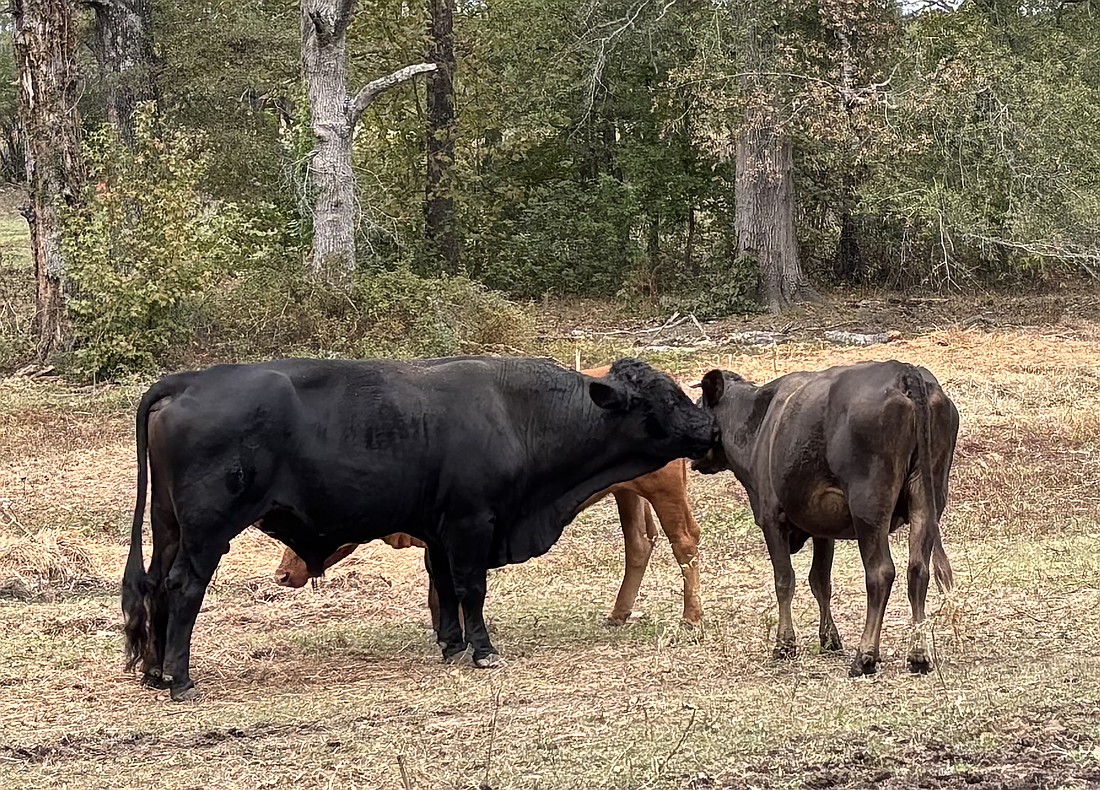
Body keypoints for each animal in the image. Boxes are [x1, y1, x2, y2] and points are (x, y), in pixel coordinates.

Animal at [271, 365, 706, 629]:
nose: (281, 575)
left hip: (666, 491)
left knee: (684, 542)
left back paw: (691, 616)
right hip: (628, 493)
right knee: (639, 544)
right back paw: (619, 613)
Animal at [691, 360, 958, 677]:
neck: (756, 423)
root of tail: (905, 372)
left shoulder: (771, 518)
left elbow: (785, 580)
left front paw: (784, 644)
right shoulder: (821, 525)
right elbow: (820, 580)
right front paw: (829, 639)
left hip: (869, 507)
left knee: (880, 573)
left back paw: (865, 656)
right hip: (928, 498)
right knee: (918, 570)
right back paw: (918, 655)